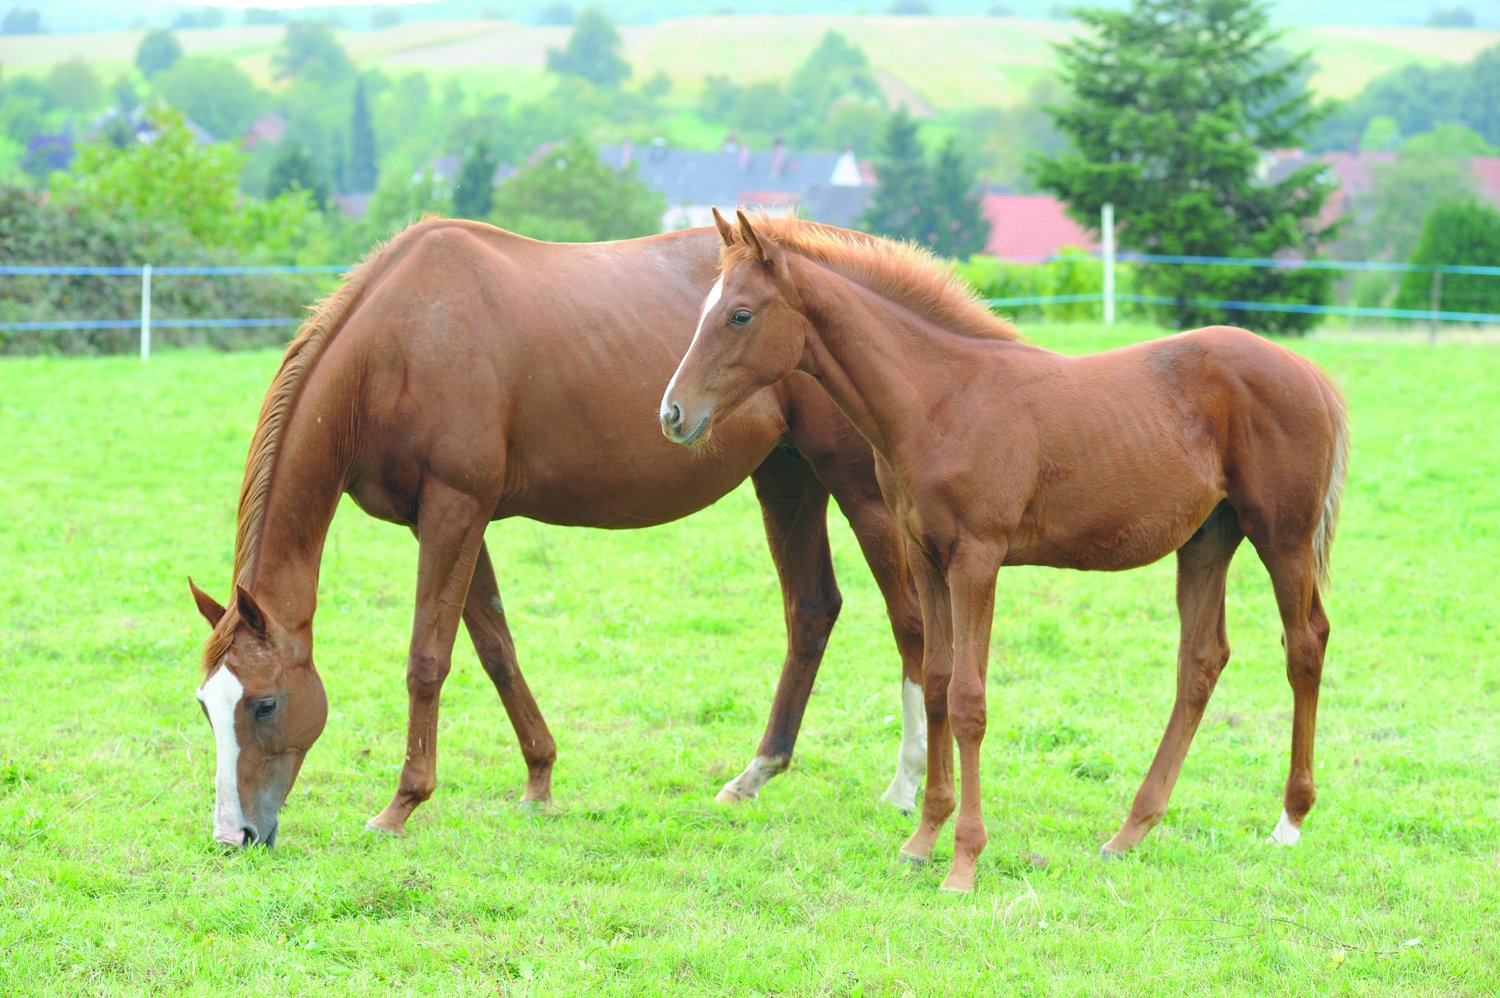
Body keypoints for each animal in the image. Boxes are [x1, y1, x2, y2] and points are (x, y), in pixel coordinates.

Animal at [189, 217, 928, 848]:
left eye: (265, 704)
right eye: (205, 707)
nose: (234, 836)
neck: (400, 341)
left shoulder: (454, 509)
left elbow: (428, 660)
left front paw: (401, 805)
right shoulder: (450, 519)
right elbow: (495, 647)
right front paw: (539, 778)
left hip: (861, 489)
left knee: (910, 621)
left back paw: (906, 785)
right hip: (787, 476)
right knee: (812, 610)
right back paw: (755, 774)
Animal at [661, 210, 1349, 893]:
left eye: (740, 314)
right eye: (707, 307)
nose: (672, 414)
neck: (940, 399)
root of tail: (1311, 374)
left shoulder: (977, 559)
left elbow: (969, 700)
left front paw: (964, 861)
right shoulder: (925, 557)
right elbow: (936, 682)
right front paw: (923, 839)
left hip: (1281, 535)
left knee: (1305, 644)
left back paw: (1289, 821)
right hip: (1208, 540)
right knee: (1201, 660)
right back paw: (1129, 833)